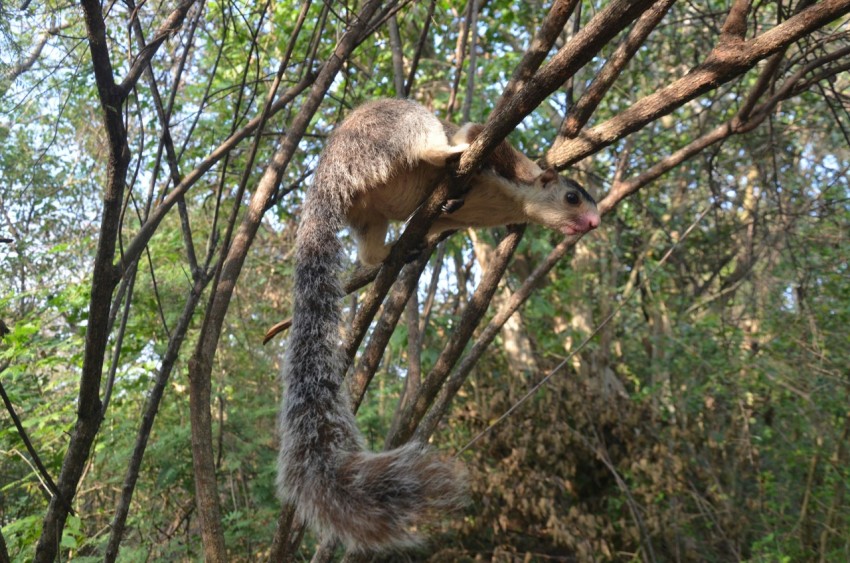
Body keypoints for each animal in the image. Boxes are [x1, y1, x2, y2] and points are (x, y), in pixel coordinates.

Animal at [276, 97, 596, 552]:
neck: (514, 204)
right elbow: (482, 134)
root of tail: (327, 181)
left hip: (369, 215)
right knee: (424, 143)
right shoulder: (501, 158)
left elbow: (444, 222)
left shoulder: (457, 221)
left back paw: (395, 251)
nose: (594, 223)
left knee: (371, 251)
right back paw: (448, 154)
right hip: (391, 130)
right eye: (571, 197)